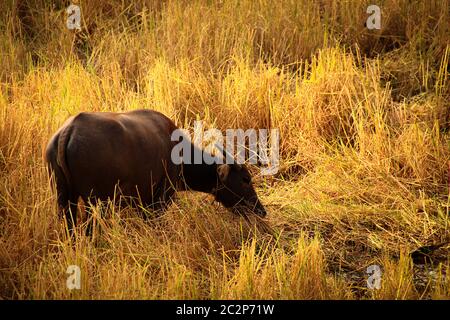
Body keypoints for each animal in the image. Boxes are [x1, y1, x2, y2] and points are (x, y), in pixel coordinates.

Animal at [44, 109, 266, 234]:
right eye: (245, 179)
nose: (261, 210)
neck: (180, 152)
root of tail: (68, 131)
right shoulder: (159, 200)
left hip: (65, 199)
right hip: (95, 202)